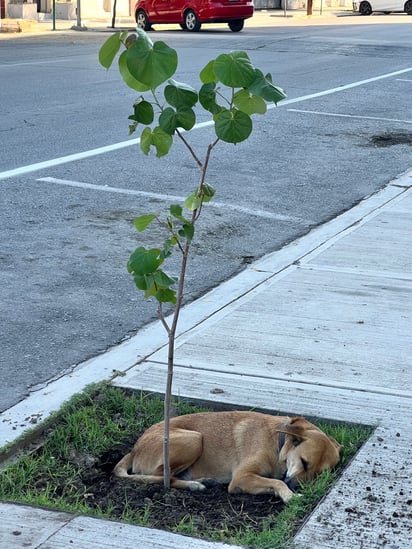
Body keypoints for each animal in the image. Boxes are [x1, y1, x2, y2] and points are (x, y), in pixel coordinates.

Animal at [112, 408, 342, 504]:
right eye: (304, 463)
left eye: (320, 474)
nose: (299, 487)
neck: (278, 446)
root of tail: (135, 448)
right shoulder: (241, 478)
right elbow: (277, 482)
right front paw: (289, 495)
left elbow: (274, 481)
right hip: (194, 439)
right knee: (162, 476)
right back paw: (194, 484)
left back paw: (202, 480)